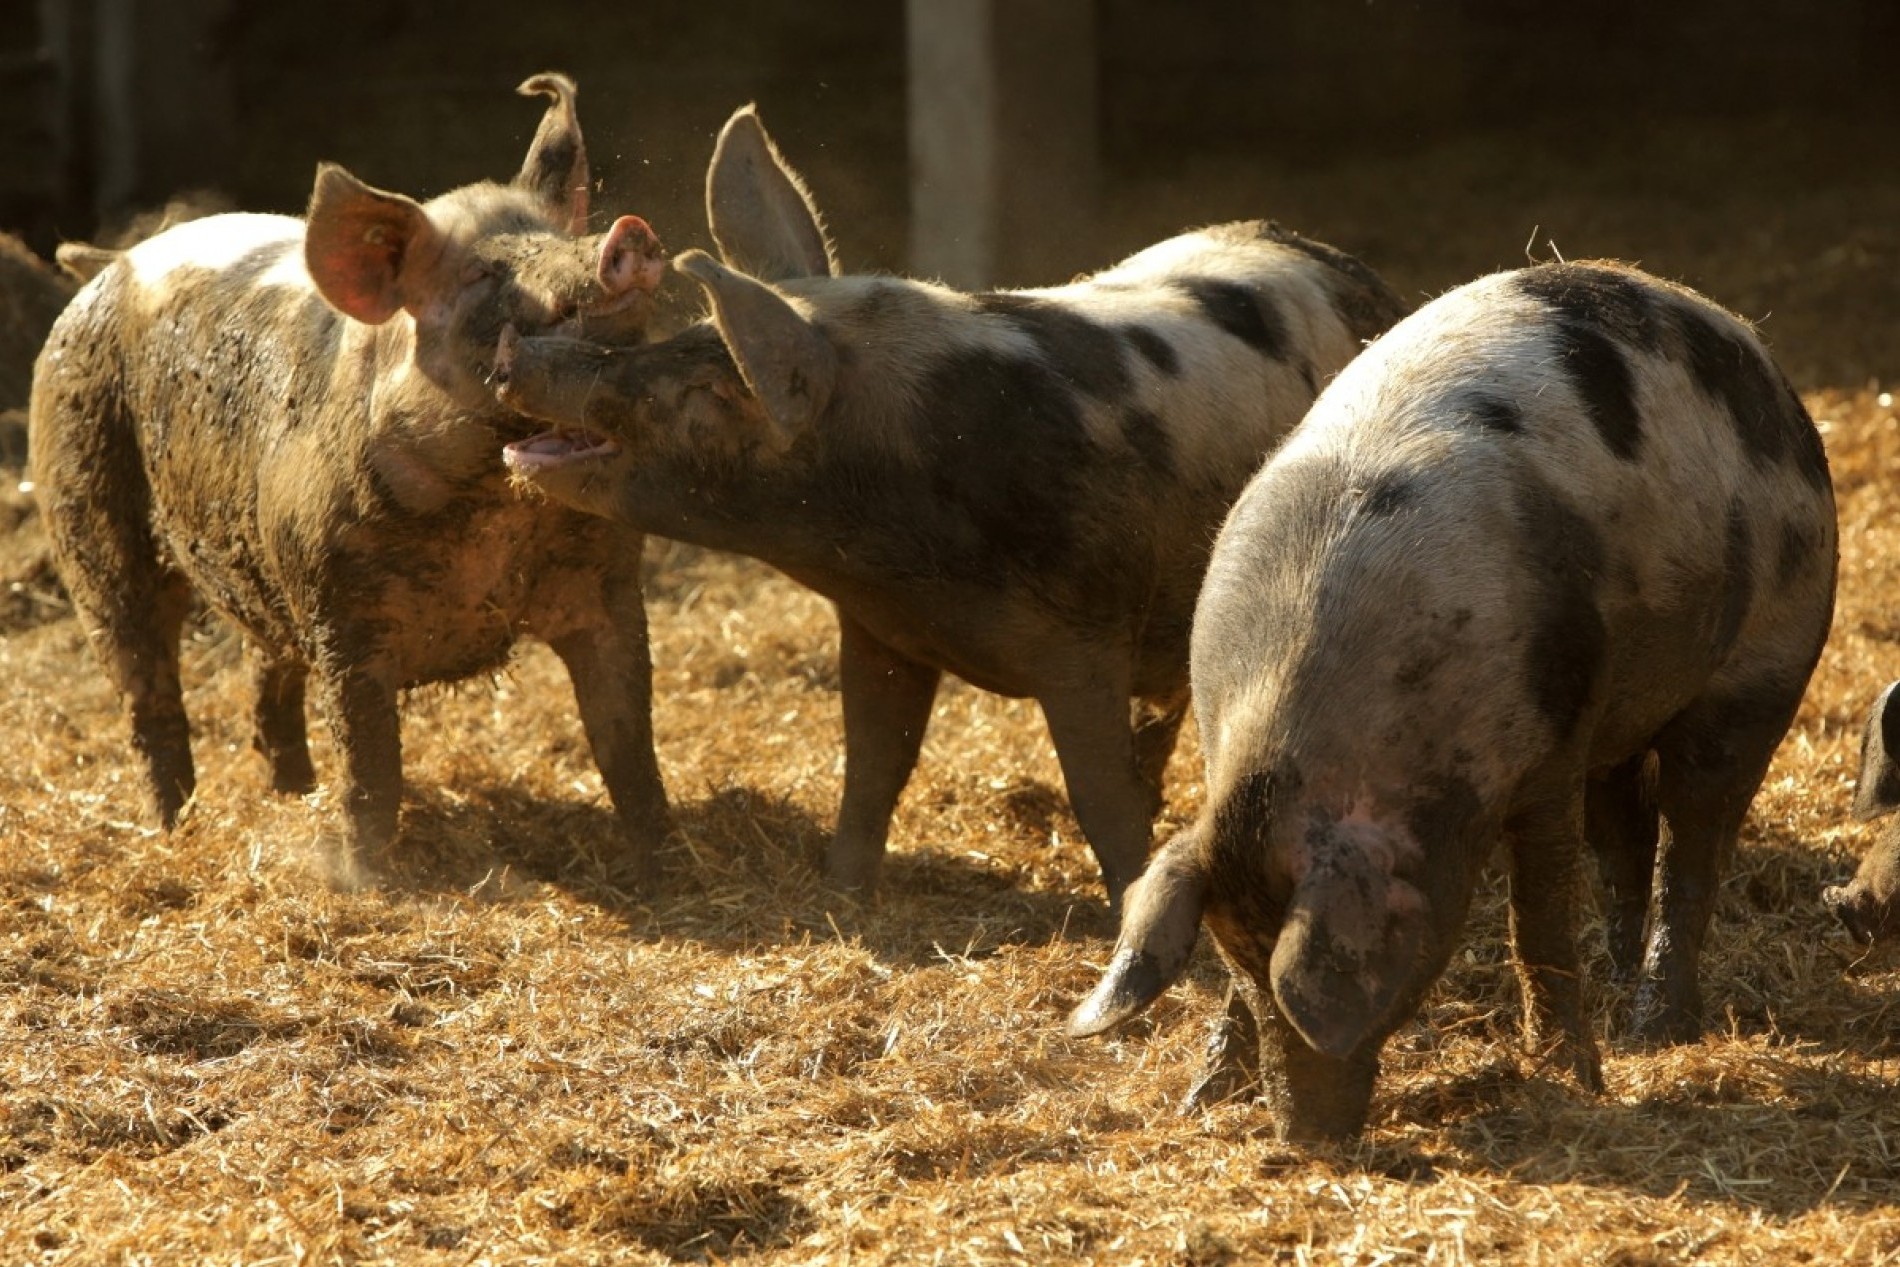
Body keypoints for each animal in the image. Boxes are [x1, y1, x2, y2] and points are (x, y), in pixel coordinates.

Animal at [29, 74, 672, 887]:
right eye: (479, 273)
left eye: (559, 239)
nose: (625, 237)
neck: (491, 510)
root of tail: (110, 260)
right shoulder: (341, 611)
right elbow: (371, 765)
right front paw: (367, 879)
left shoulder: (609, 587)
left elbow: (628, 741)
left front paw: (668, 864)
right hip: (85, 511)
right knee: (147, 691)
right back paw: (177, 827)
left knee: (263, 672)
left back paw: (290, 793)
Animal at [487, 106, 1409, 904]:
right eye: (685, 339)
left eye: (713, 384)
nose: (512, 352)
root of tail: (1343, 261)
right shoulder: (880, 628)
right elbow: (873, 764)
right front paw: (843, 892)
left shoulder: (1084, 637)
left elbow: (1095, 794)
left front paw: (1127, 907)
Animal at [1067, 261, 1837, 1141]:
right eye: (1240, 959)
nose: (1302, 1139)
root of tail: (1757, 357)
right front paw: (1203, 1100)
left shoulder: (1551, 744)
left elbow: (1537, 916)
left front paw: (1573, 1080)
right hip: (1622, 712)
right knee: (1627, 835)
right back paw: (1620, 991)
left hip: (1765, 660)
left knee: (1695, 837)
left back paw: (1655, 1029)